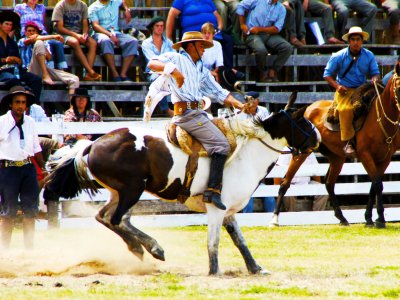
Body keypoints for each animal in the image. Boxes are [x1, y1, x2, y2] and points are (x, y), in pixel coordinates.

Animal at [270, 63, 400, 227]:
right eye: (398, 86)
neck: (380, 119)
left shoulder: (385, 158)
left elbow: (374, 186)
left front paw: (370, 218)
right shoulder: (365, 155)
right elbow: (377, 184)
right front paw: (379, 220)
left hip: (336, 157)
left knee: (329, 183)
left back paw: (342, 218)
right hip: (303, 153)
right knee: (285, 182)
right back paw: (274, 219)